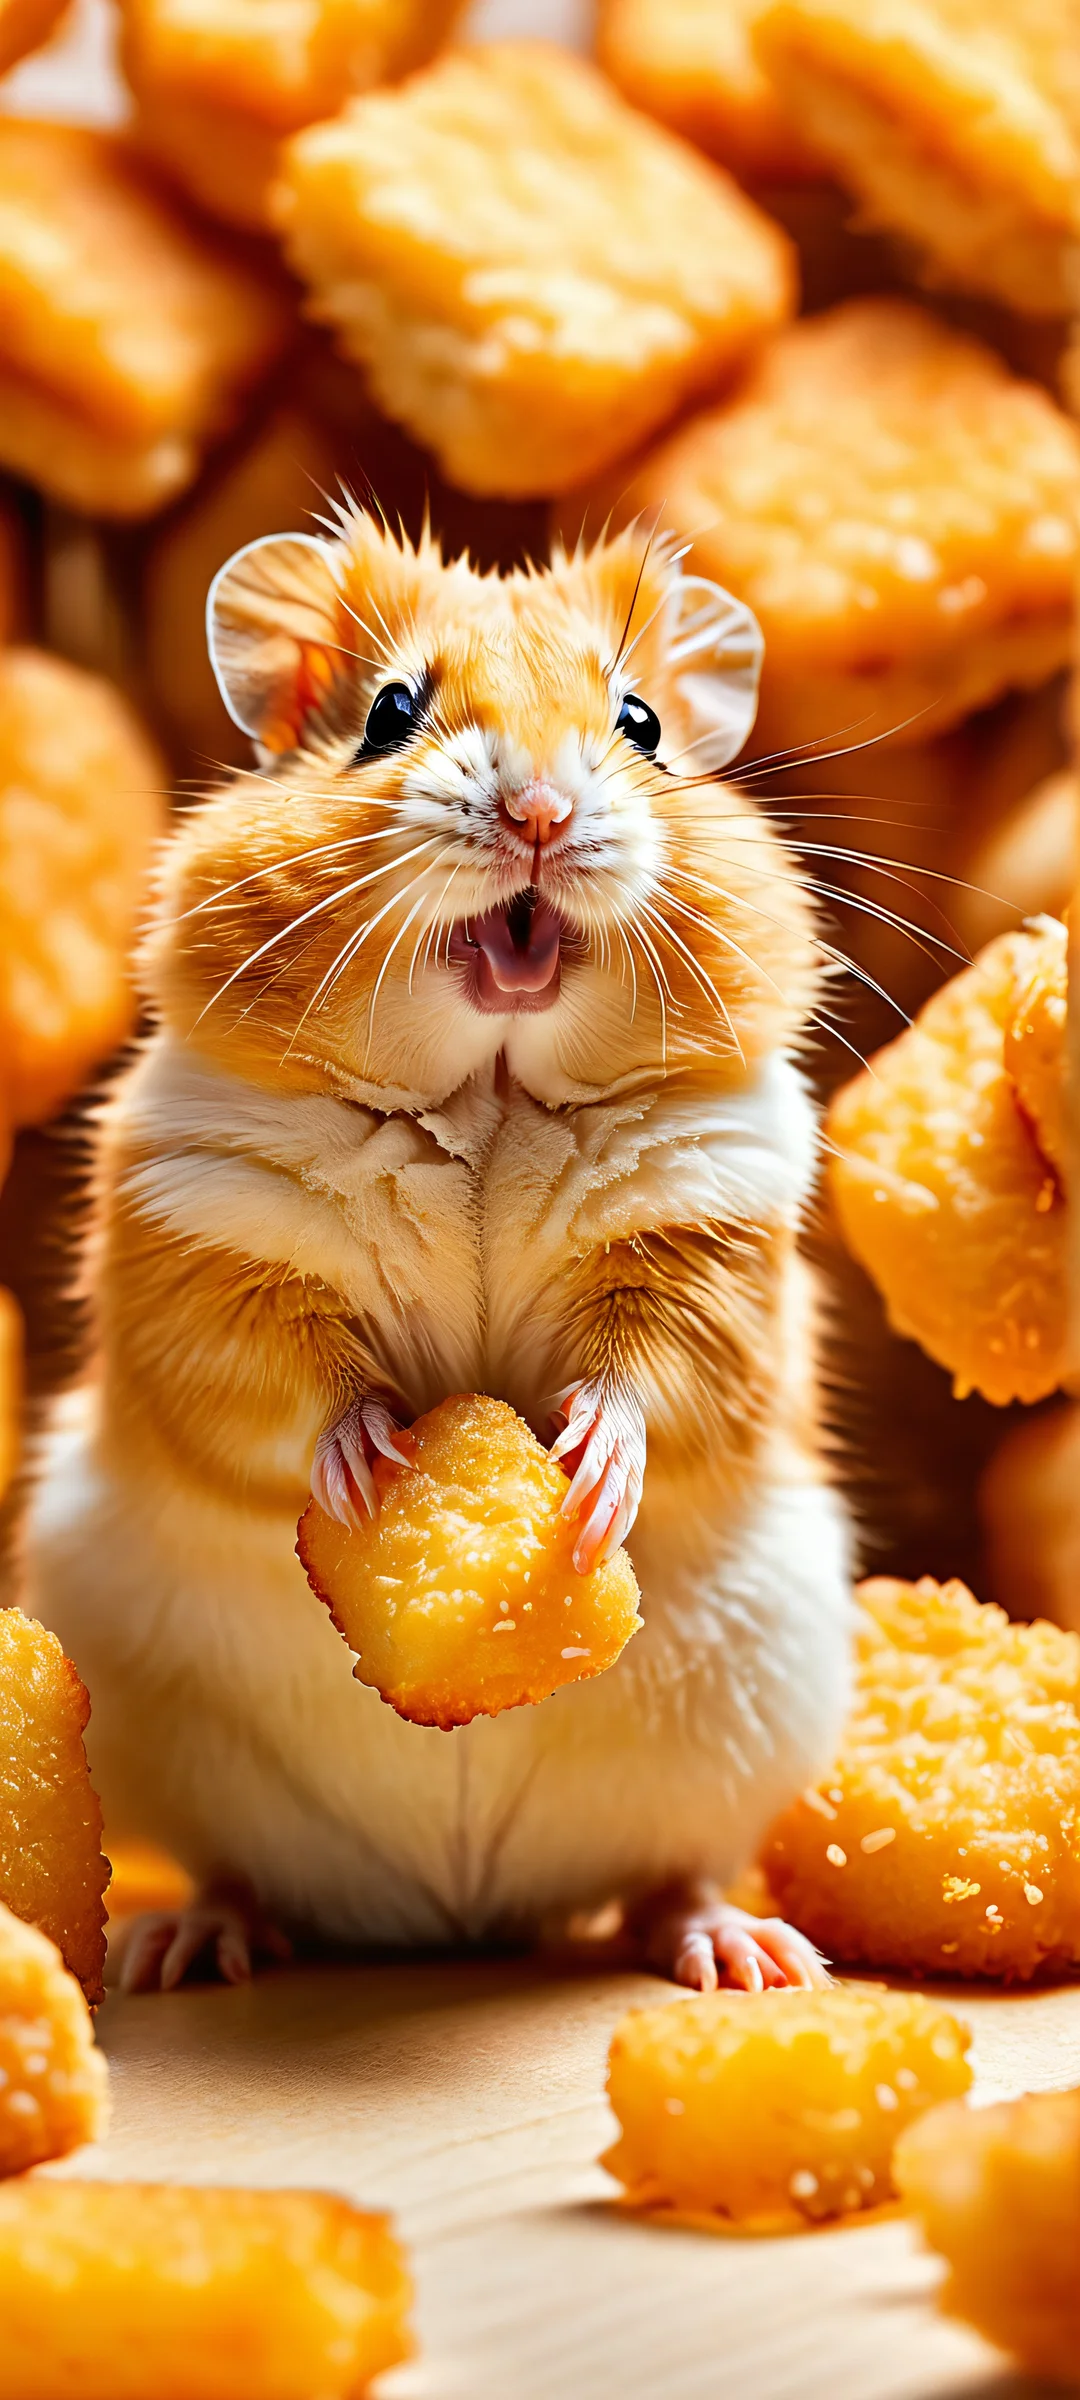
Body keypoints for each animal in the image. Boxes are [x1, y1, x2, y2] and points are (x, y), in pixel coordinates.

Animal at [26, 507, 852, 1993]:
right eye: (388, 714)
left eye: (641, 723)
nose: (541, 814)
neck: (487, 1093)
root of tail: (454, 1912)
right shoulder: (210, 1240)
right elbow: (291, 1383)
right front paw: (376, 1465)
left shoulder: (709, 1237)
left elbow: (652, 1380)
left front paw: (585, 1473)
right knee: (236, 1870)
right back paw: (187, 1945)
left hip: (758, 1718)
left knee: (672, 1875)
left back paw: (745, 1956)